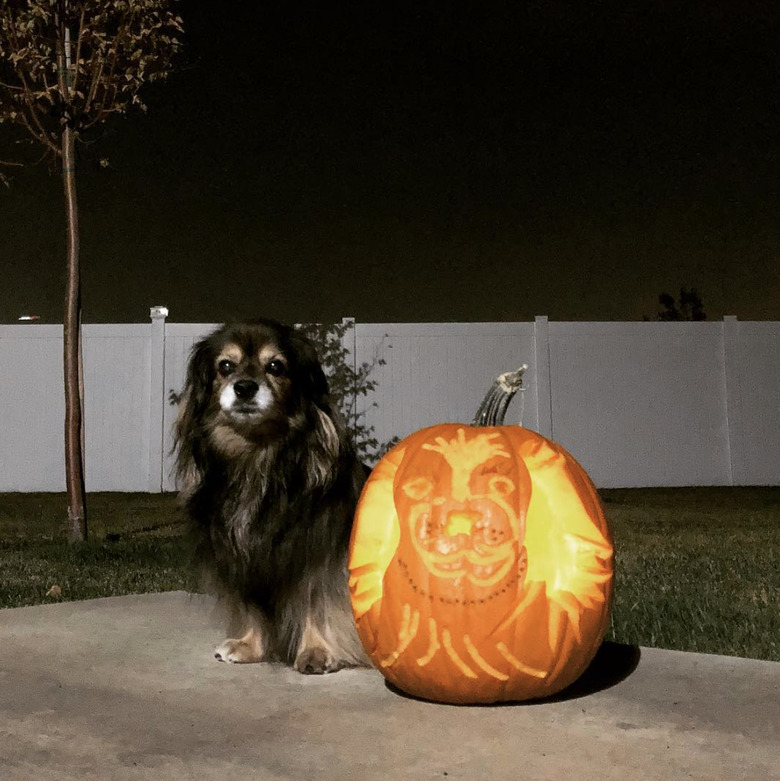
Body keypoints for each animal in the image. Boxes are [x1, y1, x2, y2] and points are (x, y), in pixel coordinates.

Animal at [175, 320, 370, 672]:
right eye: (226, 366)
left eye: (276, 367)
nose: (245, 387)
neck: (256, 460)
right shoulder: (242, 557)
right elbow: (252, 607)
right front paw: (249, 646)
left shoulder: (318, 553)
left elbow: (315, 602)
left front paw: (317, 652)